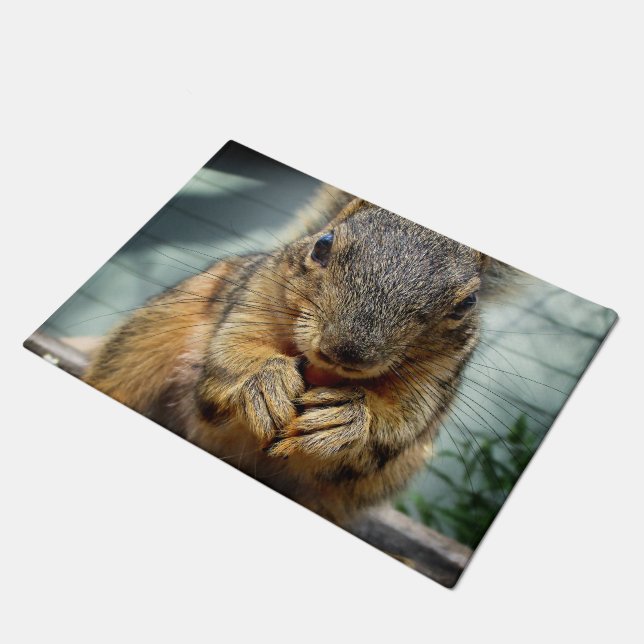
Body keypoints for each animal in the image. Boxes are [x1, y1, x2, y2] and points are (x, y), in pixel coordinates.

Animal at [85, 186, 504, 525]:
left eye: (467, 303)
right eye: (323, 244)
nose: (345, 350)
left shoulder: (434, 380)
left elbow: (395, 424)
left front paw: (347, 418)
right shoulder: (254, 295)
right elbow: (233, 350)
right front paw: (264, 381)